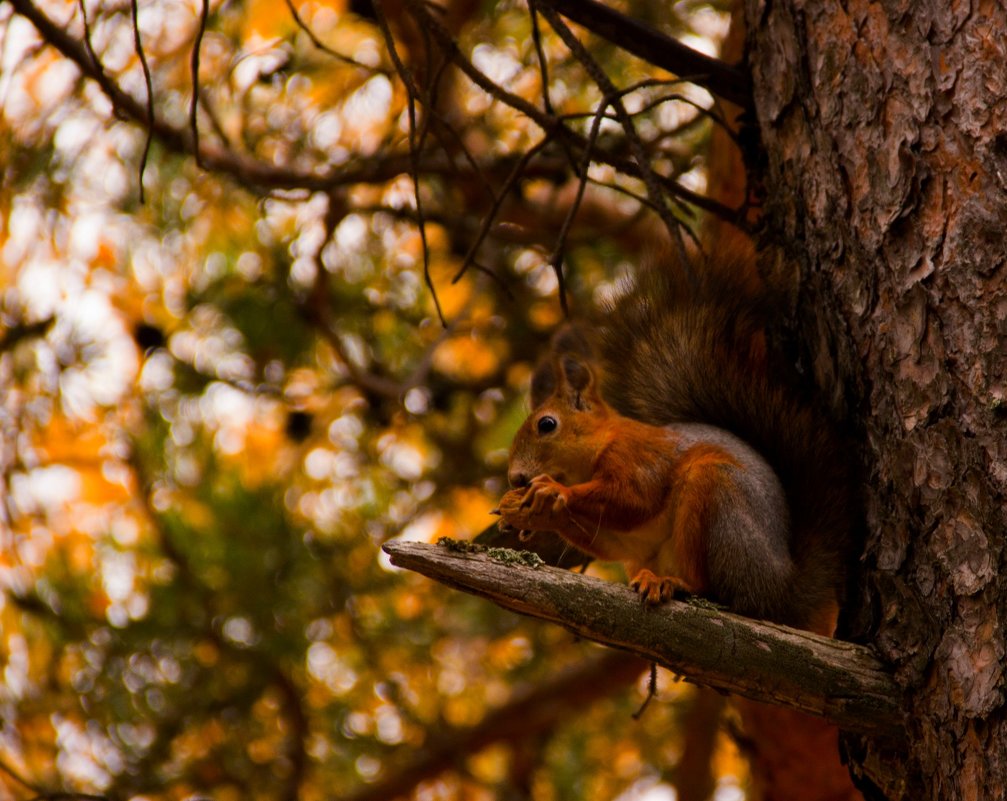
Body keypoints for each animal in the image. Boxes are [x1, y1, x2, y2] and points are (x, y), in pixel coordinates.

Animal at [495, 247, 849, 636]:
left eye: (547, 424)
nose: (516, 478)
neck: (602, 444)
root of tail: (785, 591)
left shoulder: (639, 457)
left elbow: (634, 499)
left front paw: (552, 491)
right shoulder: (626, 539)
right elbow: (613, 539)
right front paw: (527, 513)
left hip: (718, 498)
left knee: (724, 594)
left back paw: (676, 584)